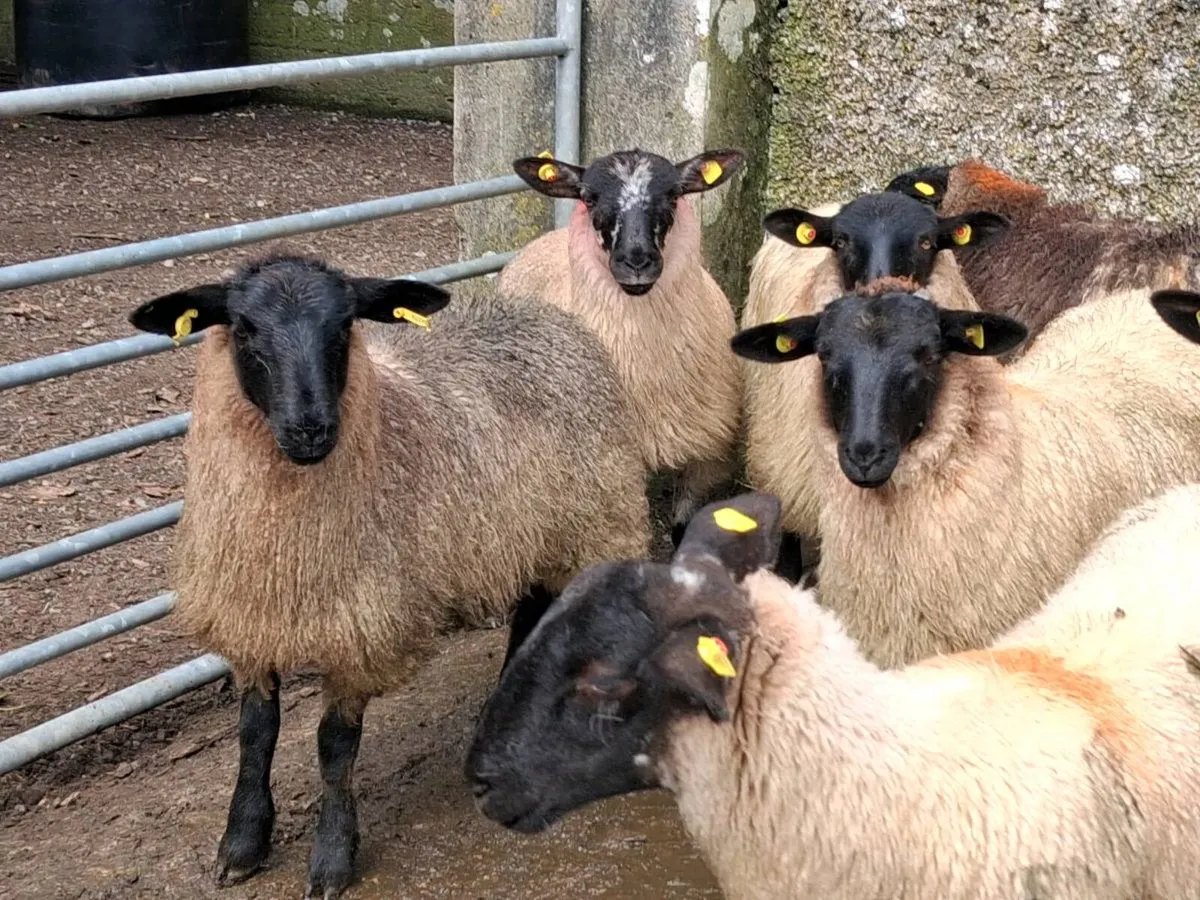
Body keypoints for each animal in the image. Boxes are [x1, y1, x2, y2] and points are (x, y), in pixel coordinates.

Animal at [126, 253, 650, 899]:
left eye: (345, 325)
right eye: (244, 328)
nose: (311, 428)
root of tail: (545, 313)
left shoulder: (361, 626)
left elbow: (333, 747)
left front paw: (332, 857)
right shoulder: (253, 614)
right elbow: (256, 731)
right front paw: (242, 841)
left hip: (595, 519)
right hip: (525, 533)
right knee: (533, 611)